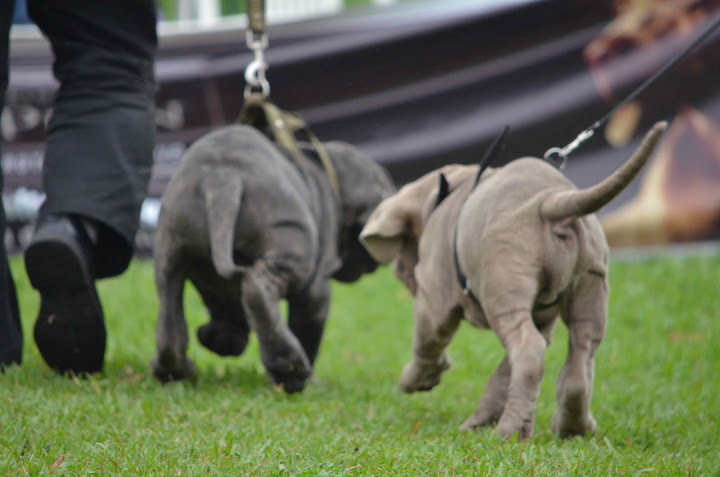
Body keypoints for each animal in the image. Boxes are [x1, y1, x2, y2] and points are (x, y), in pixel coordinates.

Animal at [151, 122, 394, 390]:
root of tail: (222, 178)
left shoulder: (214, 286)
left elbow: (227, 306)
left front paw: (219, 338)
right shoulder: (316, 289)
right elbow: (308, 330)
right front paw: (310, 379)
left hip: (172, 246)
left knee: (170, 311)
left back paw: (173, 370)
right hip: (289, 242)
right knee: (257, 290)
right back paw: (290, 371)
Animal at [358, 122, 668, 438]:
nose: (398, 270)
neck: (447, 192)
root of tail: (549, 202)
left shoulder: (434, 297)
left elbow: (427, 342)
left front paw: (417, 380)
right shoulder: (543, 315)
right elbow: (504, 372)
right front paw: (479, 420)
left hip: (504, 281)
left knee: (529, 351)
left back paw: (510, 432)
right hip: (588, 280)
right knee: (580, 355)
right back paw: (572, 428)